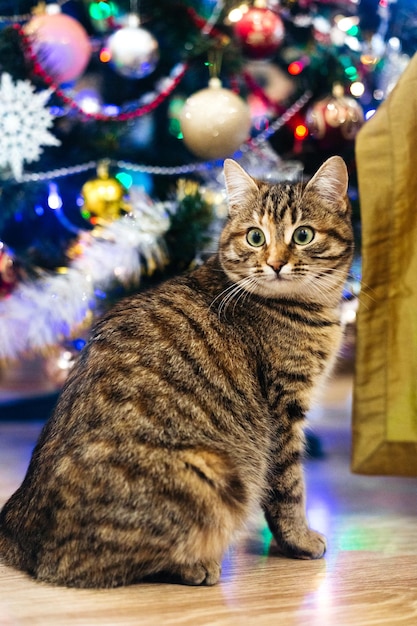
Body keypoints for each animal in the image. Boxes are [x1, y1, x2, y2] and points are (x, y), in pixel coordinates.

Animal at [0, 155, 352, 584]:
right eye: (255, 237)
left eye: (302, 235)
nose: (275, 264)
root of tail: (15, 526)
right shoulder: (283, 412)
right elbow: (289, 487)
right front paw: (299, 540)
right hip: (212, 472)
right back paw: (197, 566)